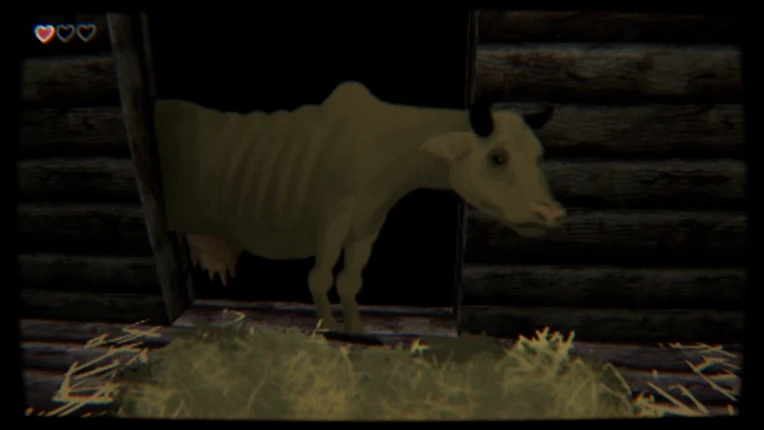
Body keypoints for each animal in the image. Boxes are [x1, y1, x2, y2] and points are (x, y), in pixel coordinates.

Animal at [154, 81, 565, 334]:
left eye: (540, 157)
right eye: (498, 158)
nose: (551, 214)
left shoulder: (368, 222)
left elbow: (350, 281)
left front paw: (358, 331)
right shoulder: (333, 217)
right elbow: (319, 278)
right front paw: (331, 331)